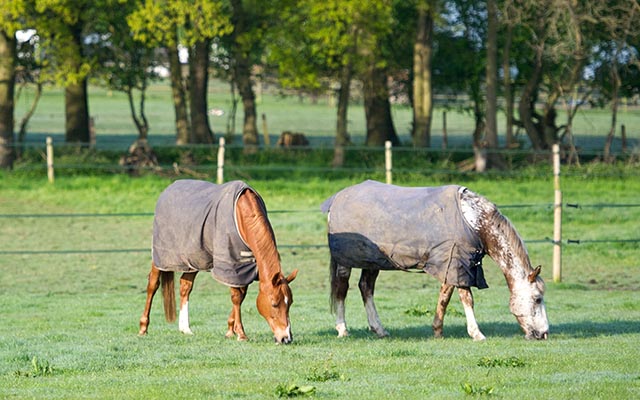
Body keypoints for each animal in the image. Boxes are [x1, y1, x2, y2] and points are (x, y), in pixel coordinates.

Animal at [139, 180, 298, 344]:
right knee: (153, 284)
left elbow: (241, 296)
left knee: (185, 286)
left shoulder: (246, 267)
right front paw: (241, 334)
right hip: (161, 257)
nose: (286, 338)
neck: (242, 214)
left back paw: (185, 329)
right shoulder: (231, 265)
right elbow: (236, 297)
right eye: (274, 304)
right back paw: (143, 328)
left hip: (194, 259)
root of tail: (168, 189)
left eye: (290, 303)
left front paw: (230, 331)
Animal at [321, 180, 548, 341]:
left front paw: (438, 330)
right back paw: (342, 329)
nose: (544, 334)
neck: (474, 220)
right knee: (341, 289)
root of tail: (337, 199)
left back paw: (379, 329)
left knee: (366, 288)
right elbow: (467, 298)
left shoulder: (451, 264)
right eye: (537, 299)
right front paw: (476, 333)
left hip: (372, 261)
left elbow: (444, 297)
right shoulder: (458, 262)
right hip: (346, 261)